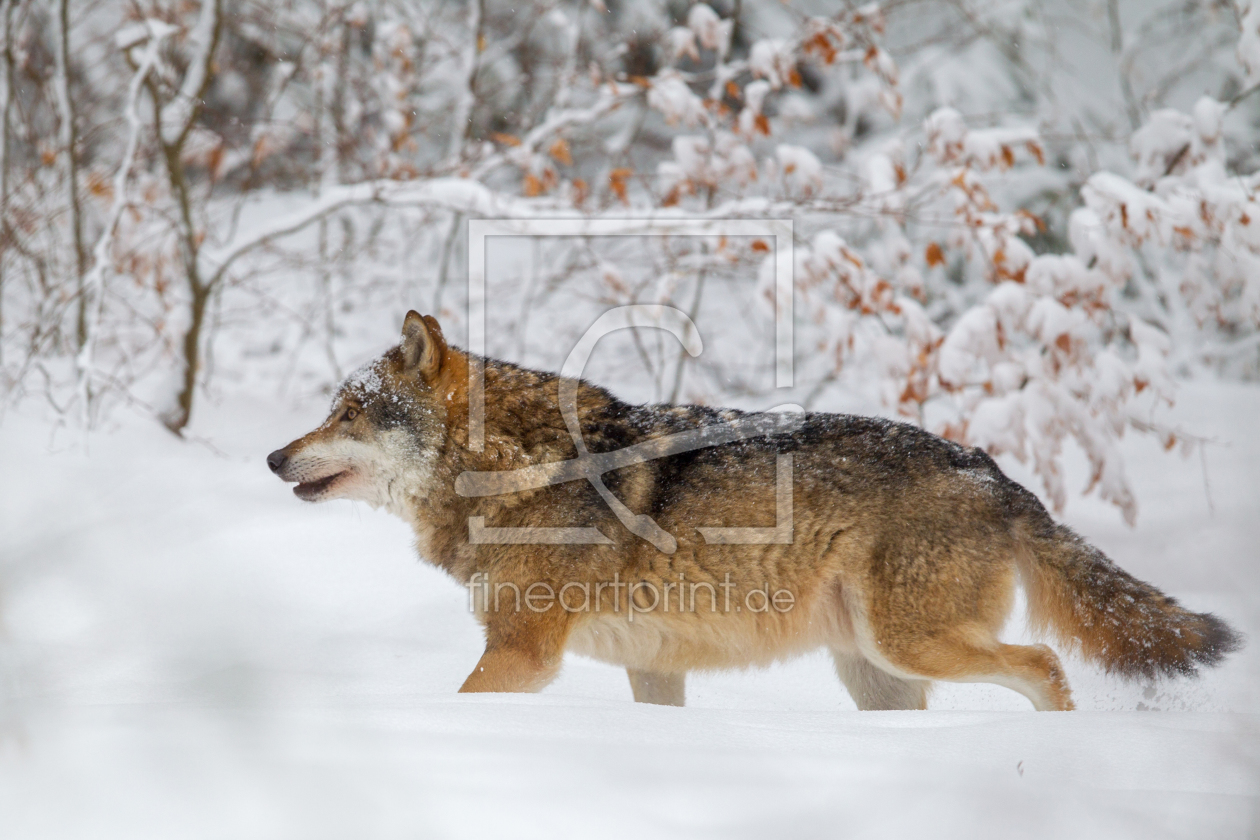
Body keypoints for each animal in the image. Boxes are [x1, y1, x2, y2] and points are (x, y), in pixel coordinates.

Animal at [265, 312, 1239, 715]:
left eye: (346, 414)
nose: (273, 457)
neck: (515, 471)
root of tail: (1000, 476)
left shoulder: (522, 654)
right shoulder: (650, 667)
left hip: (911, 646)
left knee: (1045, 666)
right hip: (878, 674)